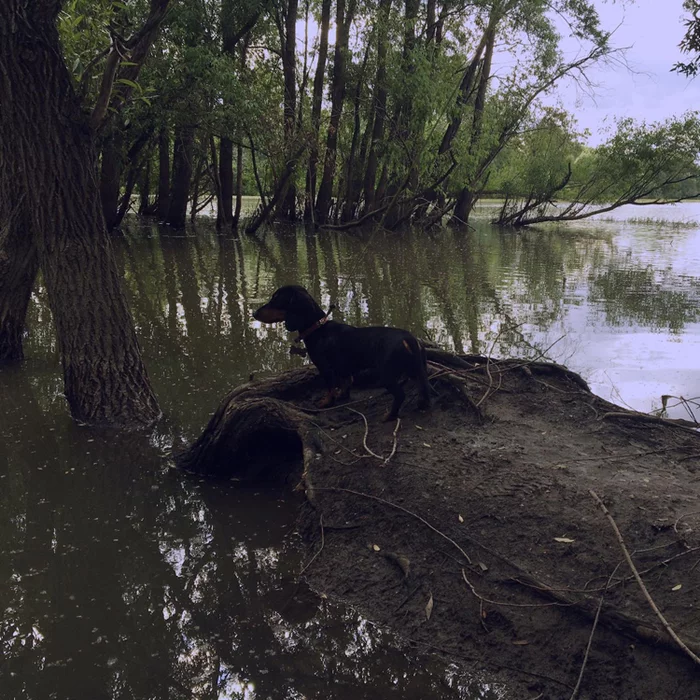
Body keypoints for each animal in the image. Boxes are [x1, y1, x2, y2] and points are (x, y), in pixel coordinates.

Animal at [254, 286, 430, 418]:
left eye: (275, 299)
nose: (254, 313)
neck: (318, 329)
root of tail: (408, 339)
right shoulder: (343, 370)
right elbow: (345, 383)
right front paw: (342, 396)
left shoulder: (325, 368)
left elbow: (330, 388)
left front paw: (326, 403)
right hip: (417, 369)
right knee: (423, 388)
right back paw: (422, 405)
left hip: (387, 375)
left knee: (400, 395)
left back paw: (389, 416)